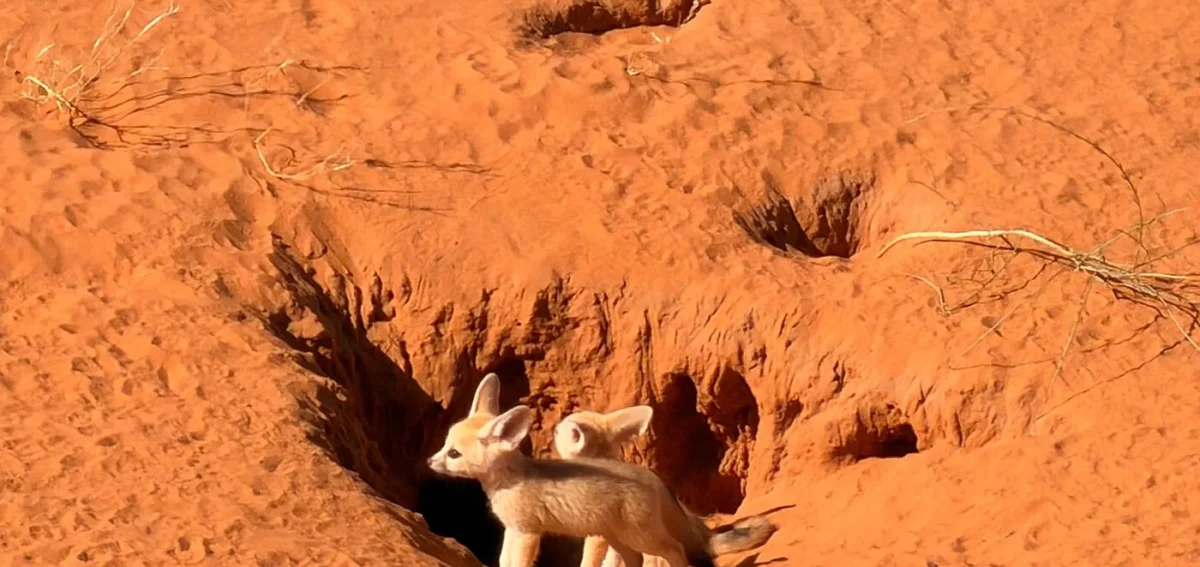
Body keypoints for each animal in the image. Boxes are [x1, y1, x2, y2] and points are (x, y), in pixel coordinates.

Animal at [427, 373, 716, 567]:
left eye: (454, 454)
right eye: (445, 445)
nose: (429, 462)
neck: (511, 481)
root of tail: (652, 477)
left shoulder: (527, 532)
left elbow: (517, 563)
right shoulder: (512, 528)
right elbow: (503, 561)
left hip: (640, 536)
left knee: (675, 549)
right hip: (617, 537)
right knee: (634, 558)